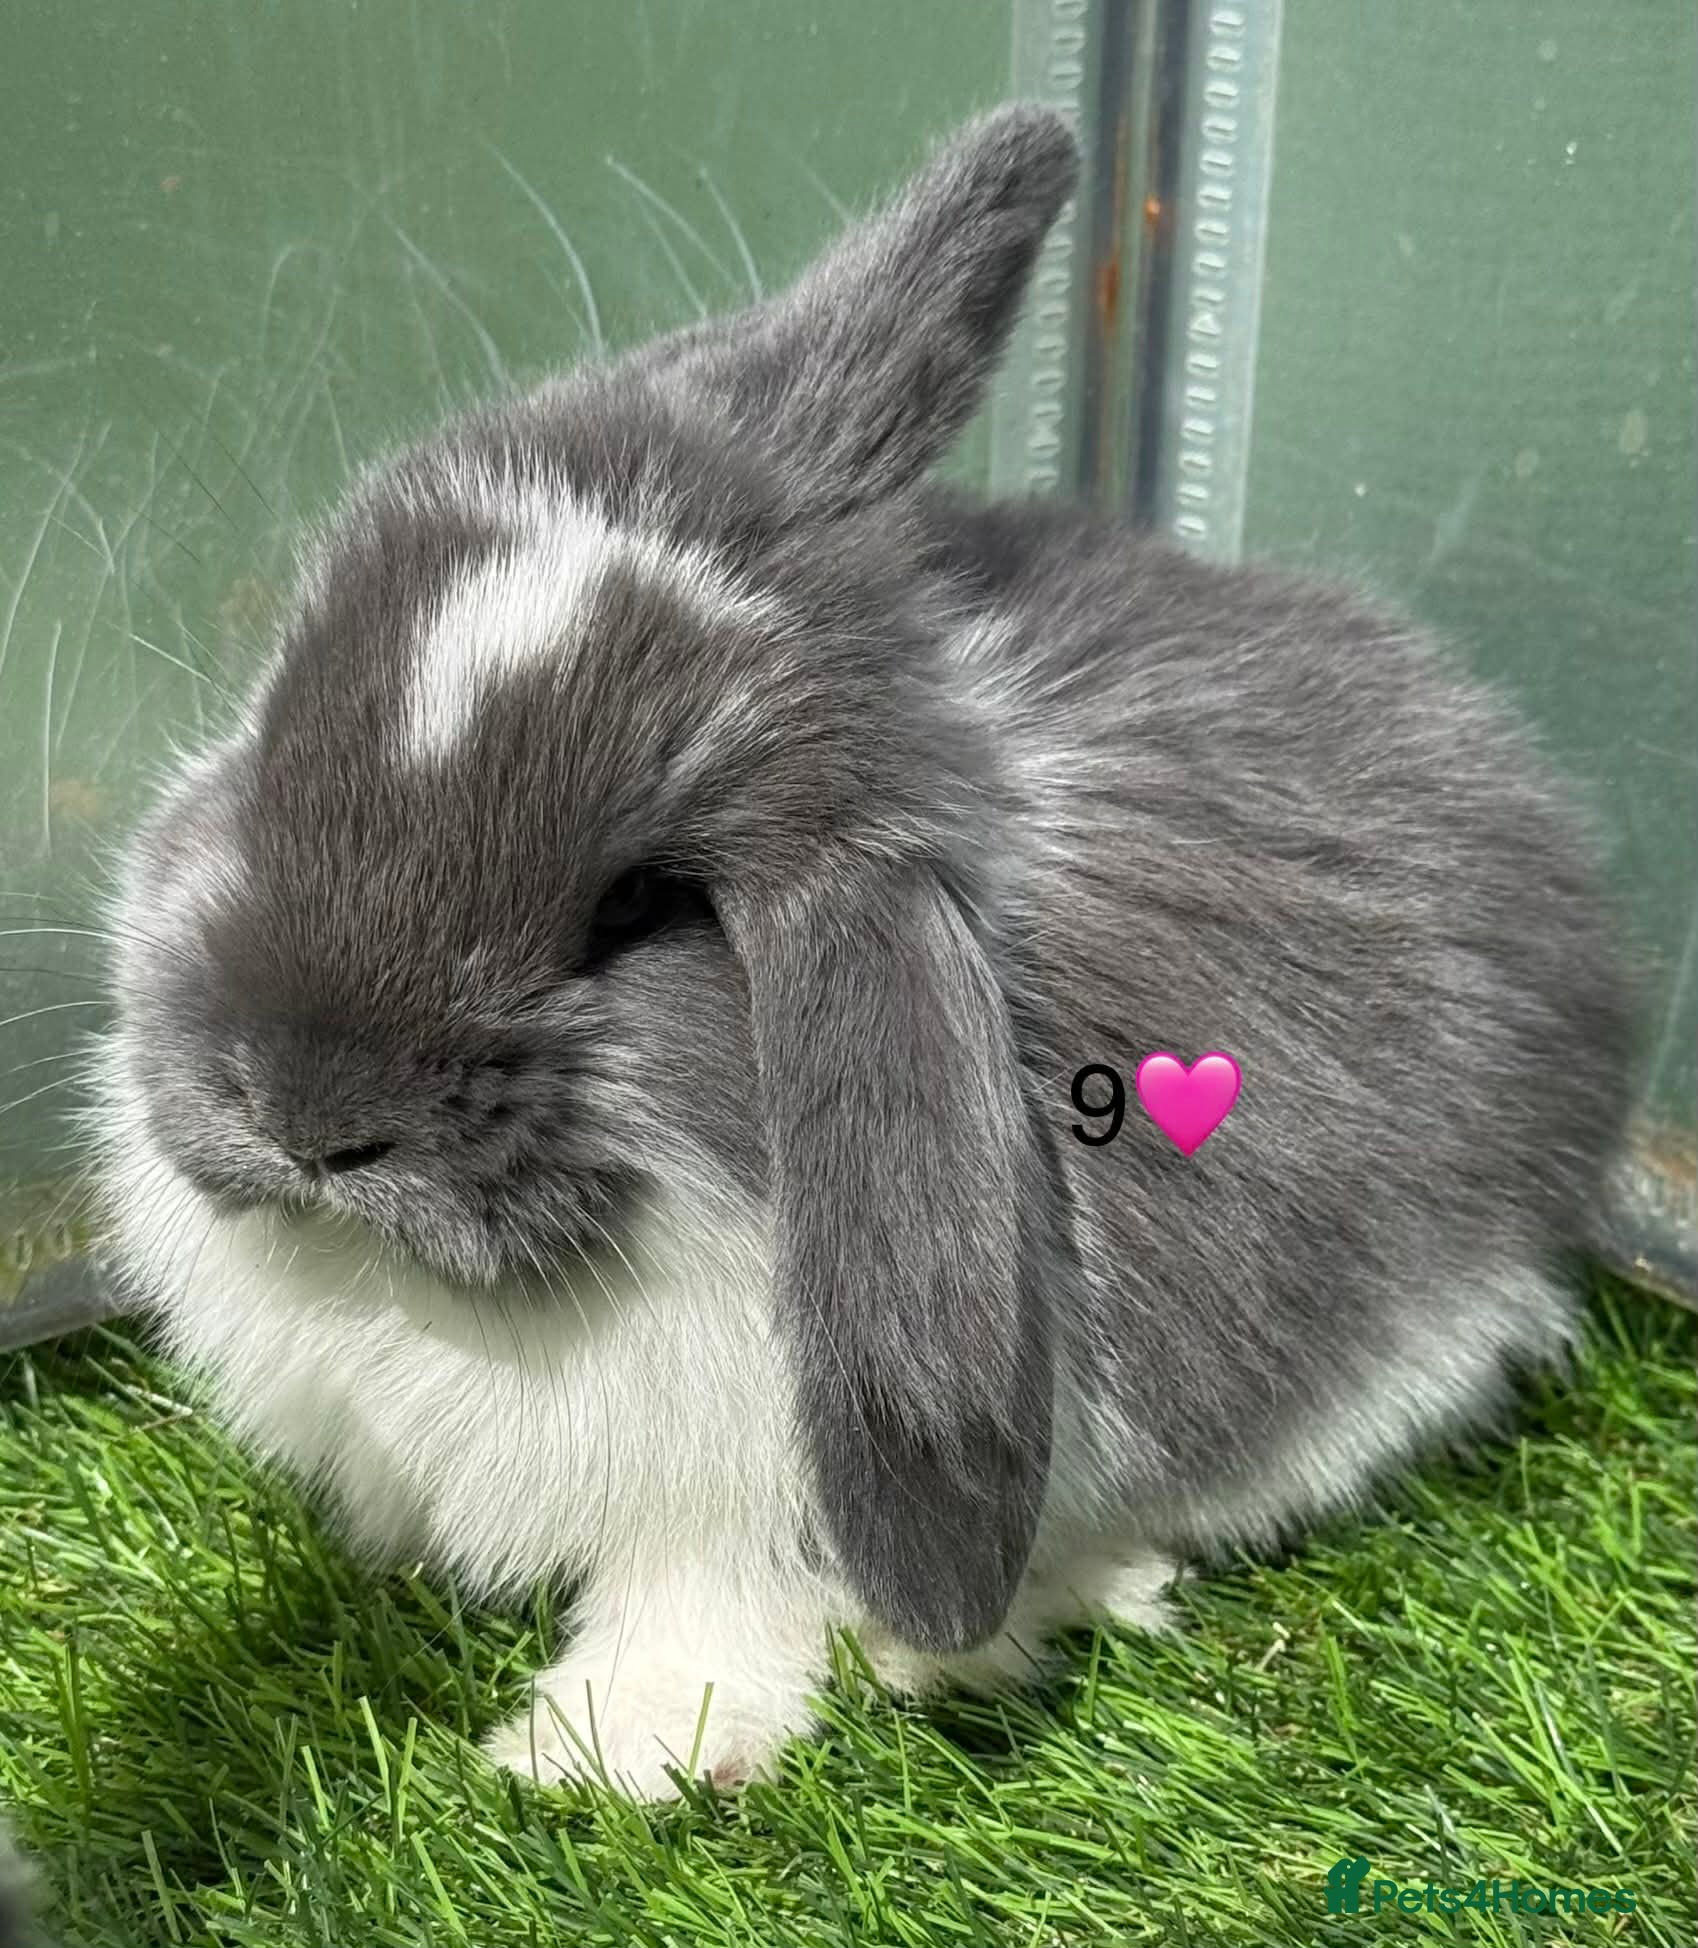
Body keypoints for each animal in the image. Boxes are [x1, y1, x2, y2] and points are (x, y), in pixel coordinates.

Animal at [87, 104, 1633, 1800]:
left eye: (643, 908)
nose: (299, 1114)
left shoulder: (745, 1496)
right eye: (272, 726)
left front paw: (599, 1752)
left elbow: (710, 1604)